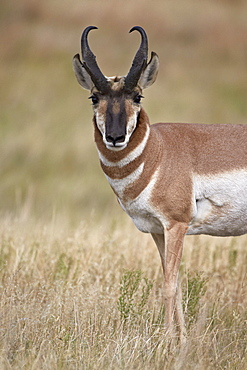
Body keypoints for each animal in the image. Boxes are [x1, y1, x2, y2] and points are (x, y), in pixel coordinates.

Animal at [73, 24, 247, 340]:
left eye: (137, 96)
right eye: (94, 97)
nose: (115, 137)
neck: (158, 151)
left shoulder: (176, 225)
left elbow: (168, 286)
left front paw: (167, 342)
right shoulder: (157, 230)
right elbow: (174, 284)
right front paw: (182, 341)